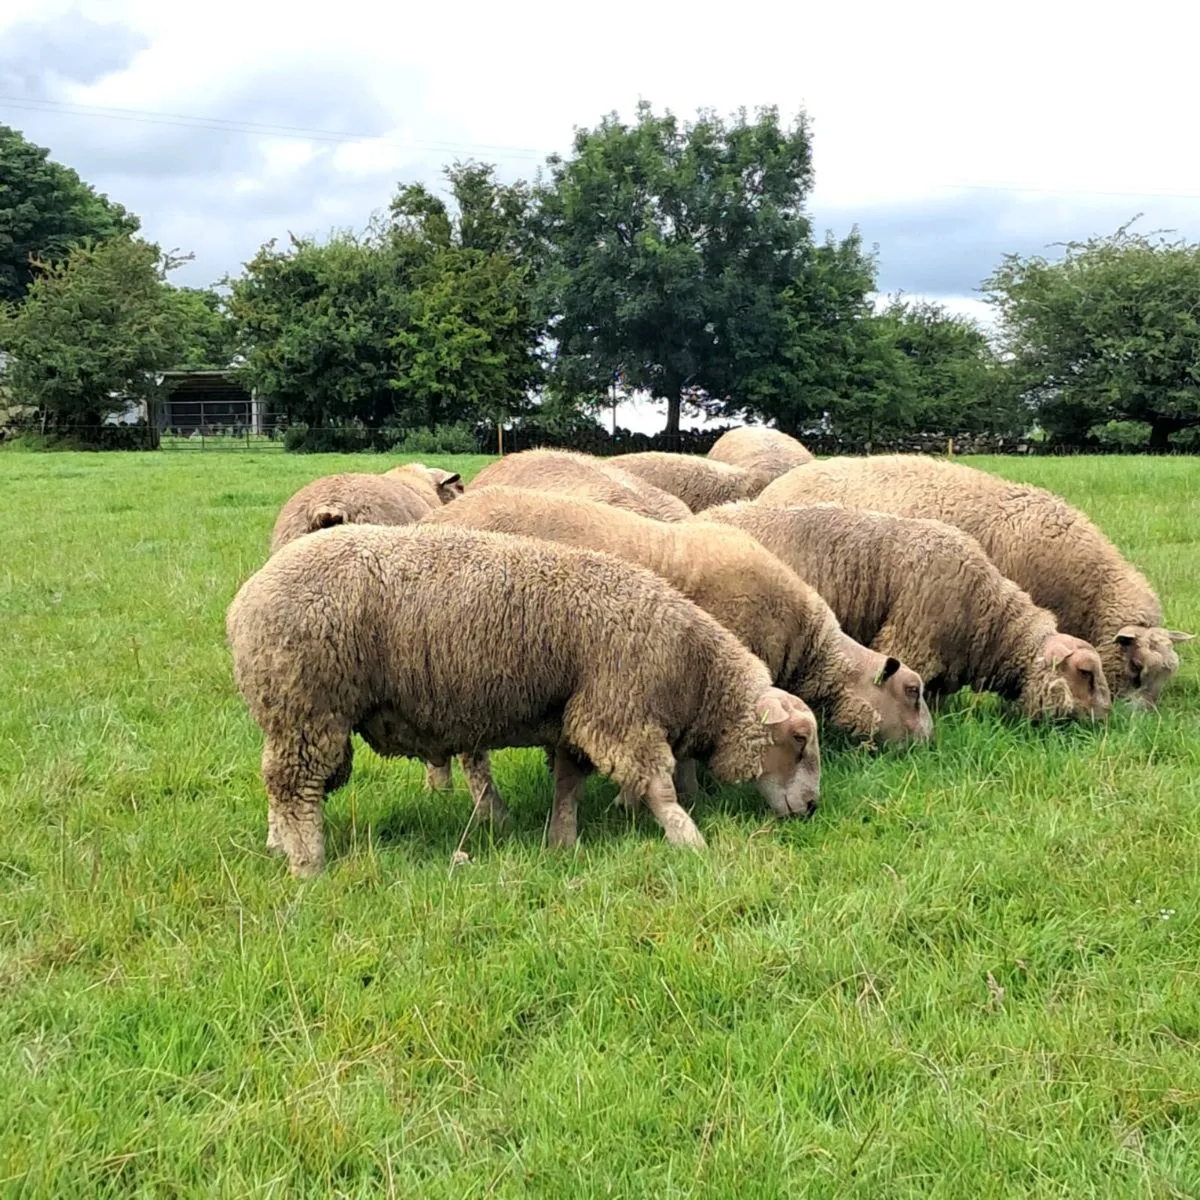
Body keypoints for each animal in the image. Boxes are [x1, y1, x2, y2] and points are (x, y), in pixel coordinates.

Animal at [226, 523, 822, 876]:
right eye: (798, 738)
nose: (814, 808)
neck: (691, 668)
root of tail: (242, 603)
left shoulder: (577, 718)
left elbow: (568, 785)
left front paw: (561, 842)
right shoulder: (617, 709)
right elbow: (658, 785)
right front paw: (689, 840)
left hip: (287, 714)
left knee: (279, 783)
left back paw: (280, 844)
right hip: (307, 707)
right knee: (295, 786)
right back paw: (308, 864)